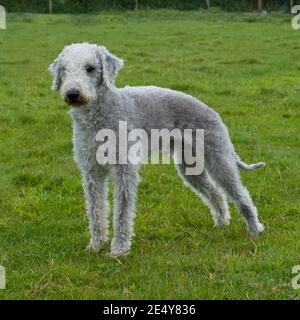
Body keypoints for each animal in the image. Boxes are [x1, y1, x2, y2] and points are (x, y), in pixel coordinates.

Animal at [49, 43, 264, 258]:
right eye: (64, 70)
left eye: (90, 68)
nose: (73, 93)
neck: (98, 117)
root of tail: (214, 113)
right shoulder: (91, 171)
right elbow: (95, 209)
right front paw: (96, 244)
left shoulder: (124, 170)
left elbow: (122, 211)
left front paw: (119, 249)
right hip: (190, 166)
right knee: (216, 194)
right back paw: (221, 223)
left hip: (218, 157)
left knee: (241, 195)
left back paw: (255, 229)